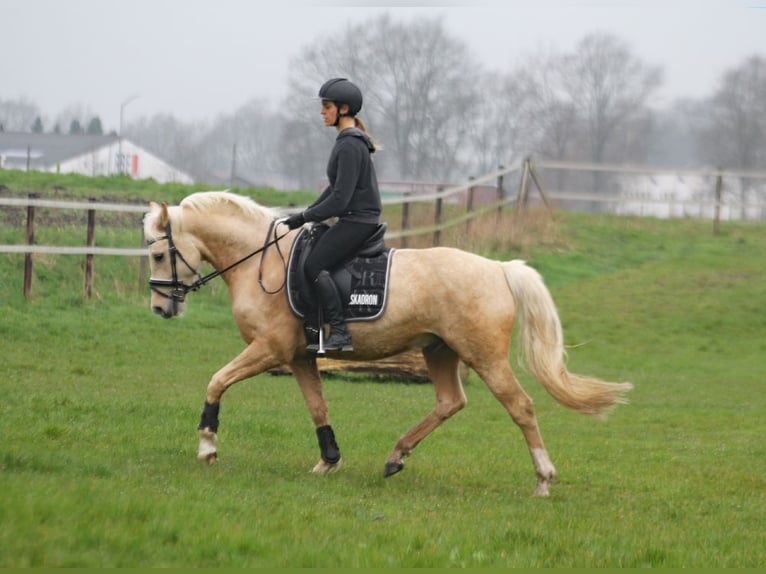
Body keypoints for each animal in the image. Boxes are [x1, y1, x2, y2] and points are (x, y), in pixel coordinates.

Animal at [146, 191, 636, 498]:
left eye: (157, 254)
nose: (159, 309)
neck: (261, 262)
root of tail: (498, 268)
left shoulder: (270, 350)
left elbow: (216, 381)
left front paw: (207, 447)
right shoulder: (300, 357)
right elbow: (317, 406)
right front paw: (329, 461)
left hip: (485, 357)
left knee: (521, 407)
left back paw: (543, 479)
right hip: (439, 350)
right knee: (449, 402)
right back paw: (395, 457)